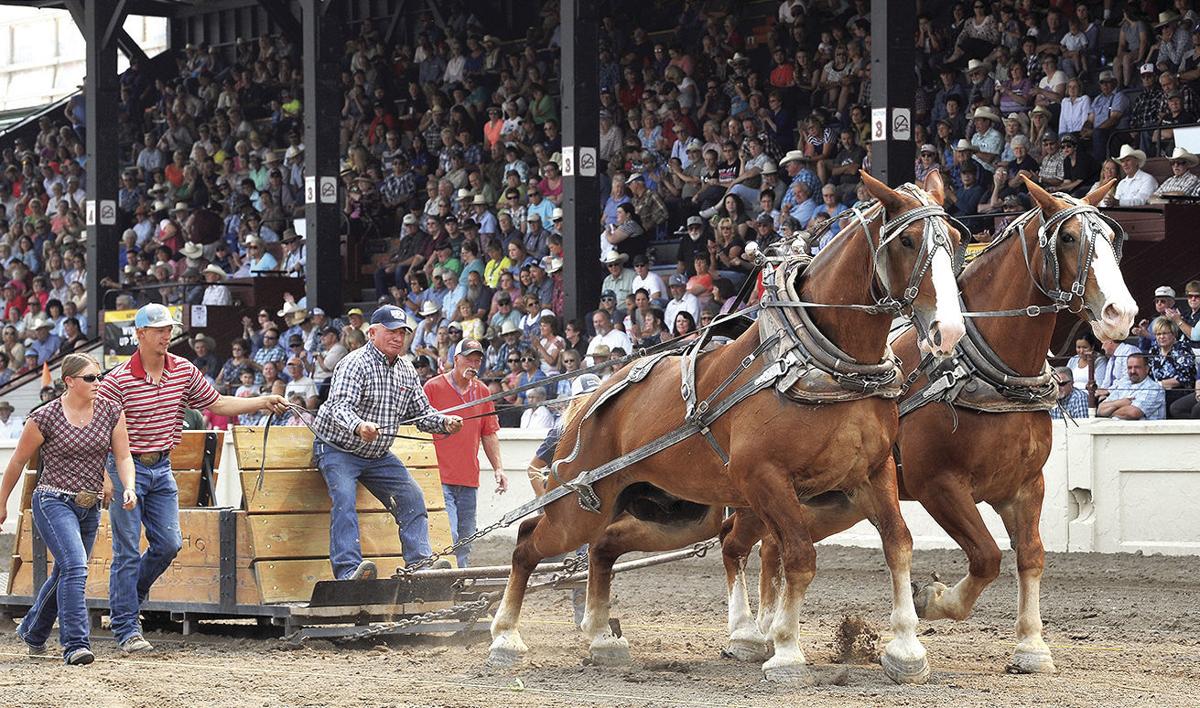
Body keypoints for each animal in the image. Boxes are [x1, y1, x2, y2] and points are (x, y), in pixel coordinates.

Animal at [487, 169, 964, 686]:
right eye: (909, 241)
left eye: (957, 239)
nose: (950, 331)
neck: (824, 365)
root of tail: (586, 400)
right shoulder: (766, 479)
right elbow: (799, 557)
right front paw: (786, 651)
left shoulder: (873, 473)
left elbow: (898, 544)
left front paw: (906, 648)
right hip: (580, 507)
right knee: (528, 542)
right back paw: (505, 638)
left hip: (672, 515)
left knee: (604, 548)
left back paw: (600, 638)